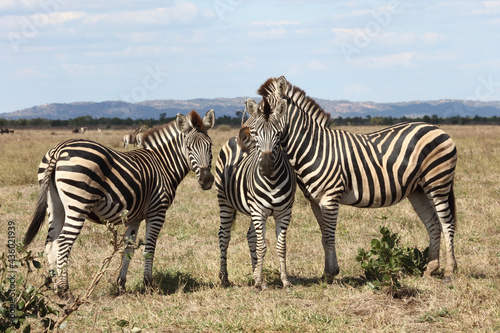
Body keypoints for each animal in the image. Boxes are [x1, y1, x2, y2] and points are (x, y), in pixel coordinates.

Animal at [23, 109, 215, 298]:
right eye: (189, 148)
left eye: (210, 146)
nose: (206, 180)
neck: (163, 165)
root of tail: (59, 150)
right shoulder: (157, 211)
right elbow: (149, 247)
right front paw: (149, 285)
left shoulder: (134, 218)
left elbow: (128, 248)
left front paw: (121, 286)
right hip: (78, 204)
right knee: (63, 241)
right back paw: (65, 291)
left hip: (54, 205)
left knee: (51, 242)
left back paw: (55, 287)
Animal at [216, 96, 296, 288]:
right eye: (257, 134)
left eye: (278, 134)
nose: (266, 167)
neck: (272, 182)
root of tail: (233, 138)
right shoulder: (259, 211)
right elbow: (262, 247)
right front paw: (258, 283)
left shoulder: (284, 213)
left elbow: (281, 247)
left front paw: (284, 281)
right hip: (224, 202)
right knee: (224, 235)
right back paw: (225, 278)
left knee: (251, 236)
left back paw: (256, 275)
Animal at [256, 76, 458, 282]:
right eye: (258, 112)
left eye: (271, 111)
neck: (314, 147)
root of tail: (436, 128)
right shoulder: (314, 201)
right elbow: (323, 236)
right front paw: (327, 273)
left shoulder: (330, 198)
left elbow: (329, 236)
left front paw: (330, 273)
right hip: (419, 190)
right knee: (433, 223)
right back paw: (430, 269)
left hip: (438, 183)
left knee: (447, 223)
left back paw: (450, 271)